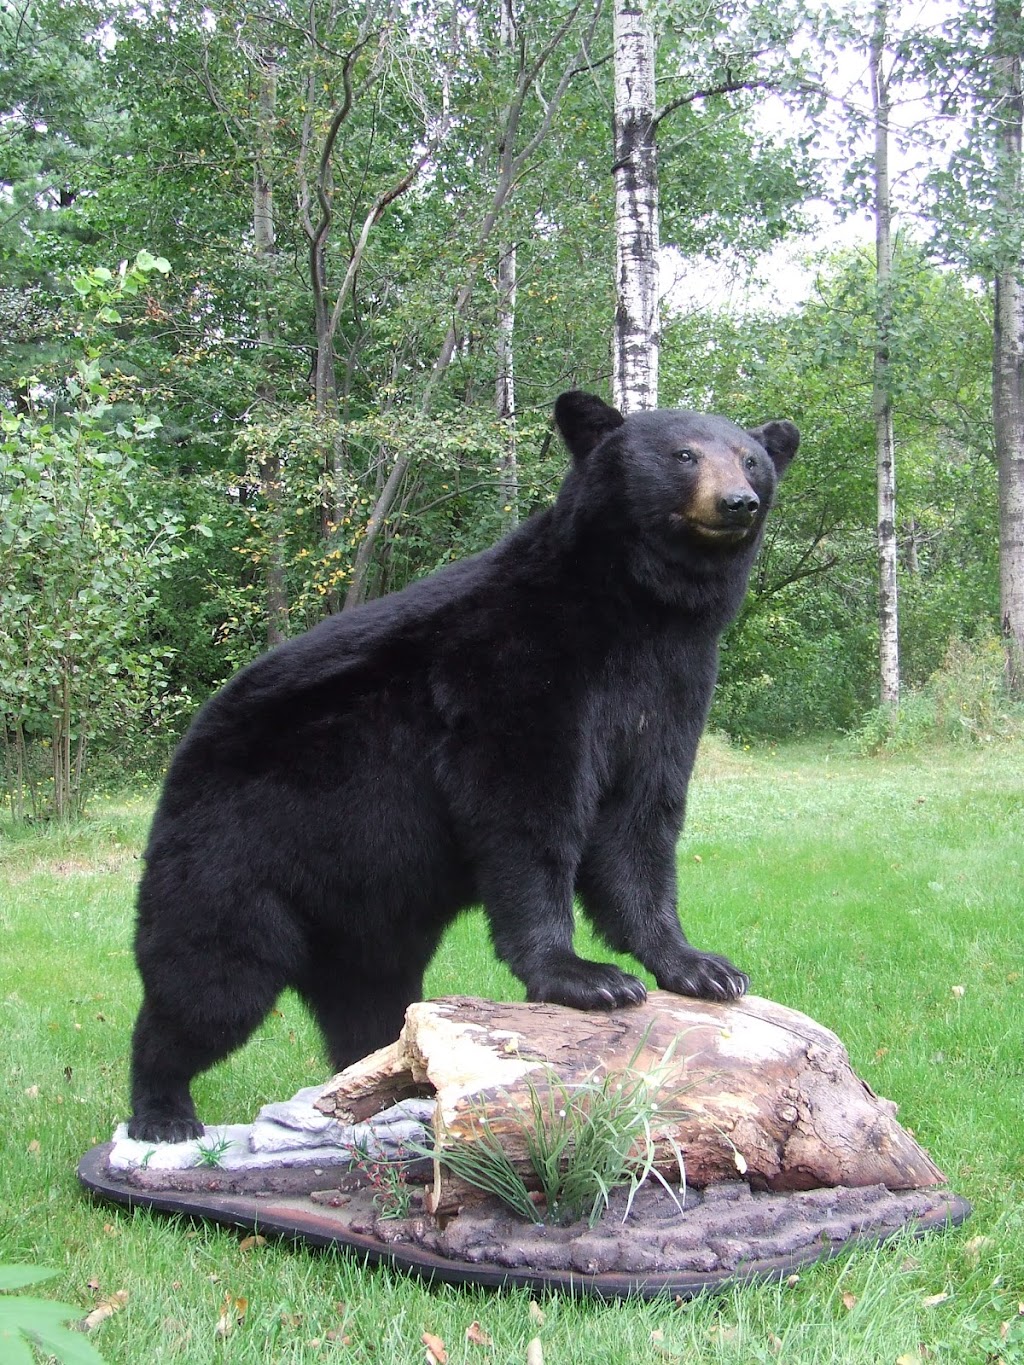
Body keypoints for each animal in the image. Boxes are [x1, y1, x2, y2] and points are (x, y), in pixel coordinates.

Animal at [126, 393, 802, 1141]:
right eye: (683, 454)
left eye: (751, 457)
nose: (738, 501)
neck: (636, 608)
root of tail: (182, 761)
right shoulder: (516, 667)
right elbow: (526, 811)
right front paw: (583, 976)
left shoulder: (672, 685)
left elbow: (641, 821)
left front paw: (699, 966)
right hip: (236, 849)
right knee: (213, 977)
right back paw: (164, 1113)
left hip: (364, 910)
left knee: (368, 997)